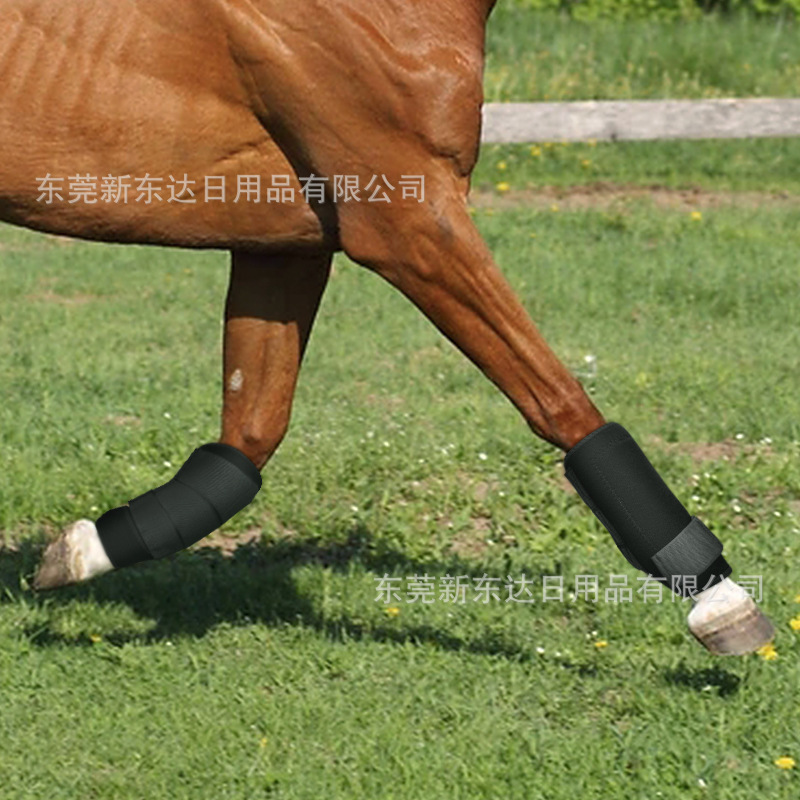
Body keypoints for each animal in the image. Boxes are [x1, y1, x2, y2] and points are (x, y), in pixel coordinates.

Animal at [0, 0, 774, 655]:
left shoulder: (285, 244)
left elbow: (248, 437)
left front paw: (78, 551)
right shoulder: (409, 221)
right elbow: (558, 401)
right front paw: (721, 603)